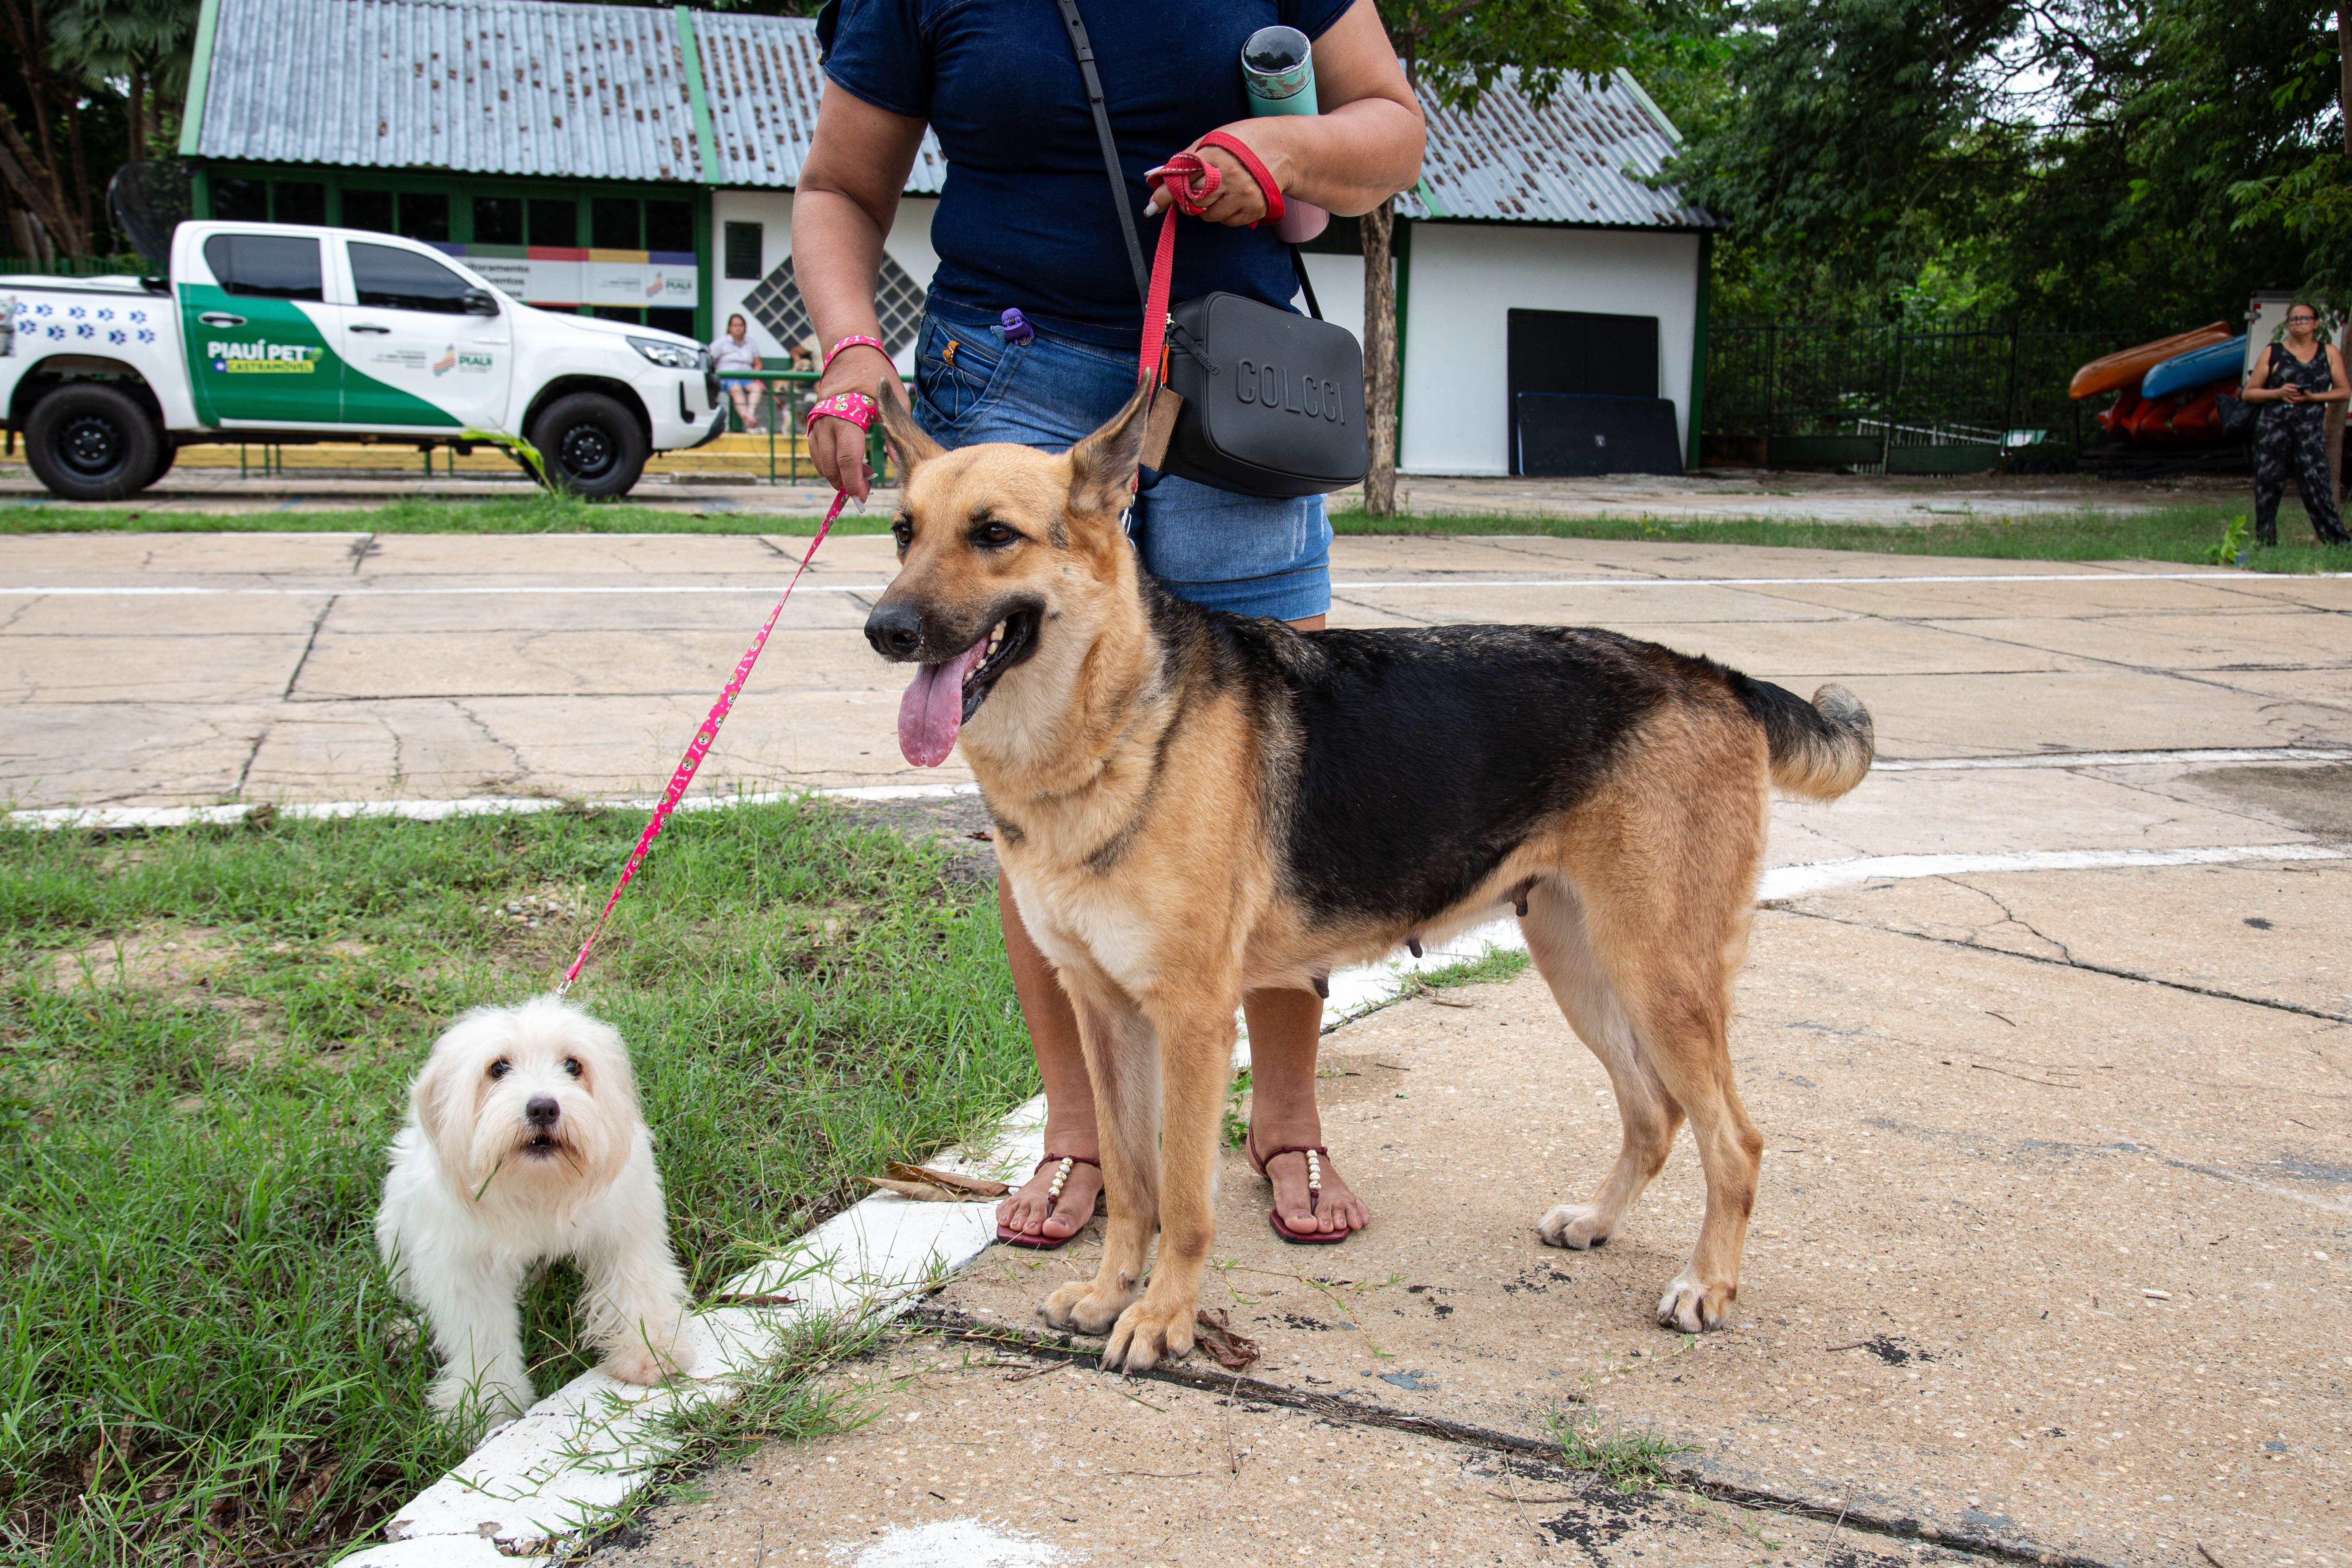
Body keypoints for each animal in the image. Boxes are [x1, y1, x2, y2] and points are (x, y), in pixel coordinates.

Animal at [374, 1001, 686, 1429]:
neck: (539, 1185)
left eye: (573, 1065)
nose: (543, 1107)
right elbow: (482, 1336)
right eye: (498, 1068)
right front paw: (486, 1406)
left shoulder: (625, 1227)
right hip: (396, 1233)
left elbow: (636, 1285)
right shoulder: (464, 1267)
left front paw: (648, 1351)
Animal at [865, 383, 1872, 1373]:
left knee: (1735, 1139)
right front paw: (1115, 1291)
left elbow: (1183, 1200)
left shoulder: (1192, 1020)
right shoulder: (1105, 1011)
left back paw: (1706, 1285)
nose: (884, 630)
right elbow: (1133, 1179)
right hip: (1580, 964)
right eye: (902, 532)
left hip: (1658, 976)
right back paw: (1595, 1220)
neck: (1114, 725)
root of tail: (1716, 676)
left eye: (995, 533)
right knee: (1654, 1113)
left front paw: (1162, 1319)